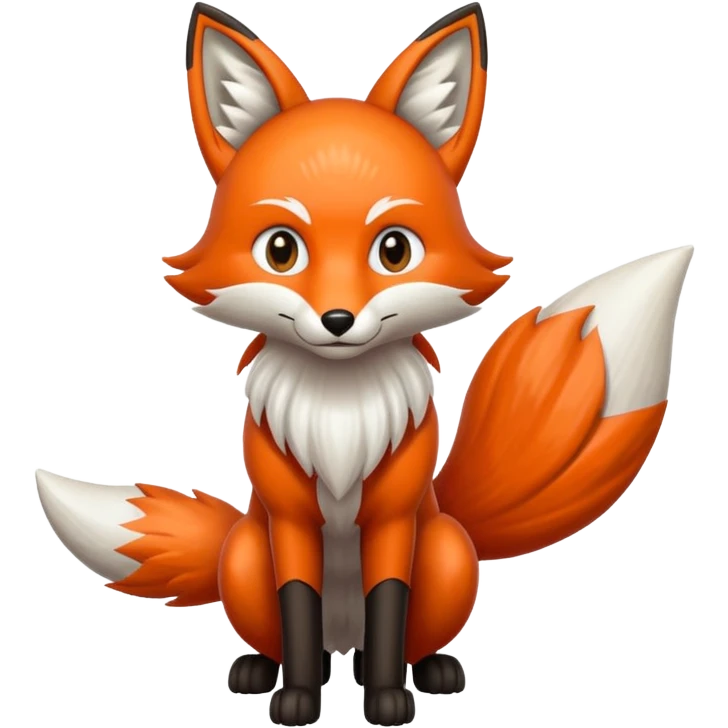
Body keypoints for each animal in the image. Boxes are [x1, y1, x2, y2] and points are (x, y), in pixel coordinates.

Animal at [33, 2, 694, 726]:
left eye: (394, 251)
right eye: (282, 250)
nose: (338, 321)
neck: (339, 414)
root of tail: (340, 641)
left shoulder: (395, 520)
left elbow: (388, 607)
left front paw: (385, 700)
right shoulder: (289, 523)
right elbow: (298, 606)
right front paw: (297, 698)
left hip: (447, 550)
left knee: (409, 636)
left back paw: (433, 669)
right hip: (244, 554)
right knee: (289, 638)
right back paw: (262, 669)